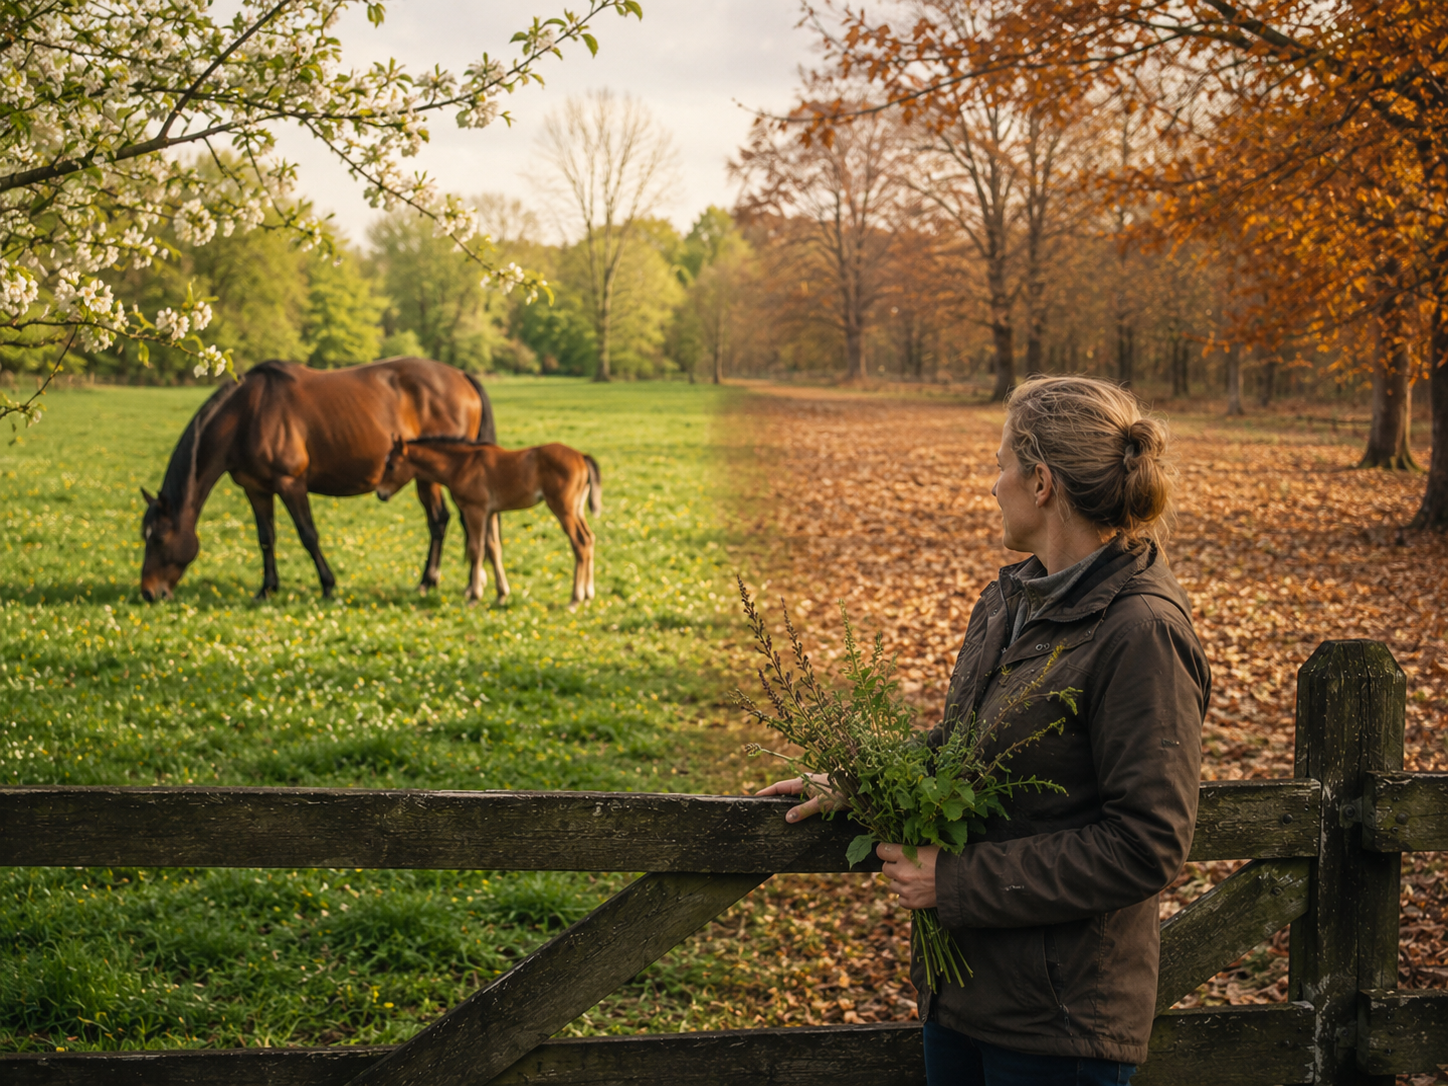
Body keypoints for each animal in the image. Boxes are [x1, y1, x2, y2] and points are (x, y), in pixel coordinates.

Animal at [140, 357, 495, 602]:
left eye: (159, 538)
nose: (148, 593)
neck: (248, 414)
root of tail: (461, 376)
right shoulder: (256, 489)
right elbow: (266, 537)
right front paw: (267, 589)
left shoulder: (291, 484)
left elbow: (308, 535)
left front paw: (327, 586)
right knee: (443, 521)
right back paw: (435, 581)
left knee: (450, 522)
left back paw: (437, 582)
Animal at [375, 436, 601, 609]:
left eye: (391, 465)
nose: (380, 493)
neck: (461, 465)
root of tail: (582, 456)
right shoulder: (491, 512)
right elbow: (494, 549)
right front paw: (501, 594)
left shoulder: (475, 510)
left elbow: (476, 550)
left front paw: (475, 596)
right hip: (577, 510)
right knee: (589, 538)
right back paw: (589, 594)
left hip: (563, 509)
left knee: (580, 543)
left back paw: (575, 599)